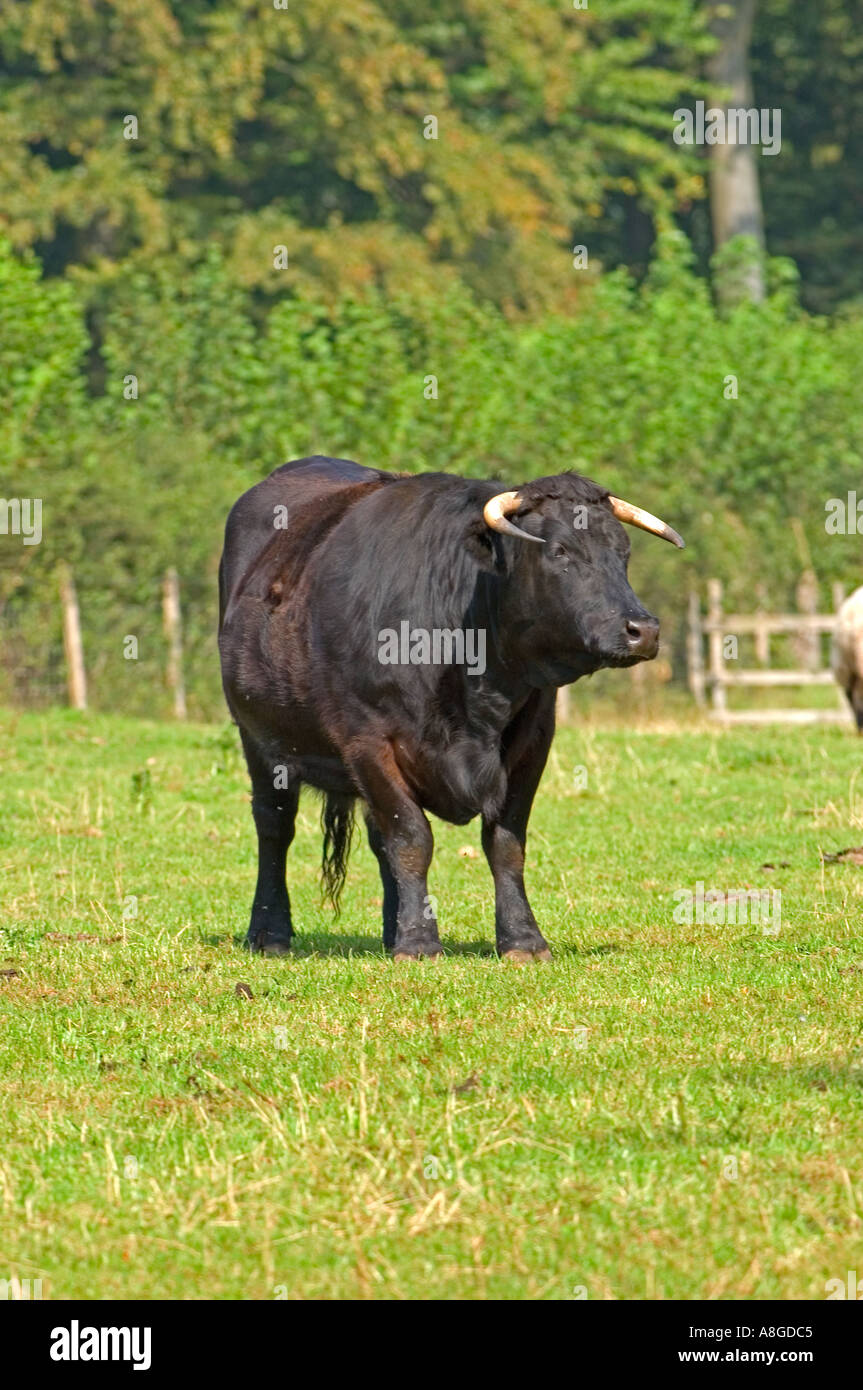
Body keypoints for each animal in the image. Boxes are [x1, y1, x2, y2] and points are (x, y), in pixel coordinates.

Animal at [216, 453, 680, 956]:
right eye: (559, 551)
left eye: (623, 553)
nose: (643, 629)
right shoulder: (367, 741)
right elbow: (411, 837)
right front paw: (420, 943)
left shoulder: (533, 741)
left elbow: (504, 843)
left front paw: (522, 939)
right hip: (259, 739)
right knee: (274, 826)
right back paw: (270, 933)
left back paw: (390, 929)